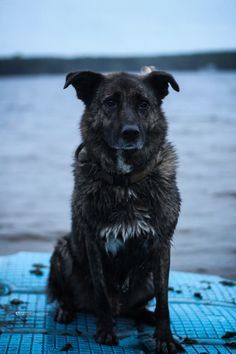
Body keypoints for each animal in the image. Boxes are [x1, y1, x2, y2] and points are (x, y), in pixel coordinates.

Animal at [47, 70, 182, 352]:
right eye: (109, 102)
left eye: (144, 104)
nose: (130, 133)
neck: (125, 182)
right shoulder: (93, 242)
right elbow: (101, 294)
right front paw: (106, 330)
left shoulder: (161, 245)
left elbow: (164, 299)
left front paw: (164, 337)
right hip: (63, 252)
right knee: (68, 295)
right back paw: (66, 309)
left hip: (147, 279)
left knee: (135, 308)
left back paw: (146, 315)